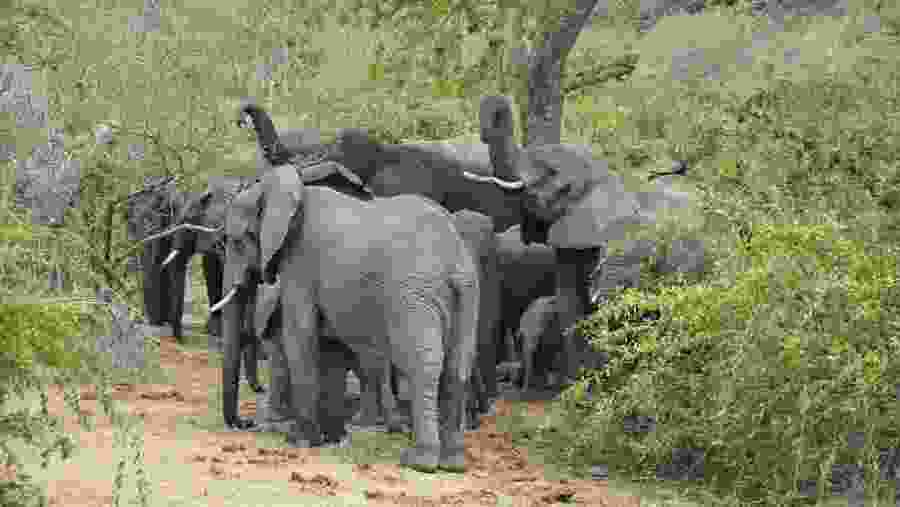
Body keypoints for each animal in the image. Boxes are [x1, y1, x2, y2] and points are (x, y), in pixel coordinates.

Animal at [214, 159, 480, 472]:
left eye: (236, 241)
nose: (244, 423)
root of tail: (453, 260)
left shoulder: (301, 264)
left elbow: (300, 335)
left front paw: (300, 440)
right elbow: (328, 345)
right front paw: (328, 438)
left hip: (414, 296)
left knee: (421, 363)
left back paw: (418, 461)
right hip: (467, 293)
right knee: (457, 366)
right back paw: (453, 464)